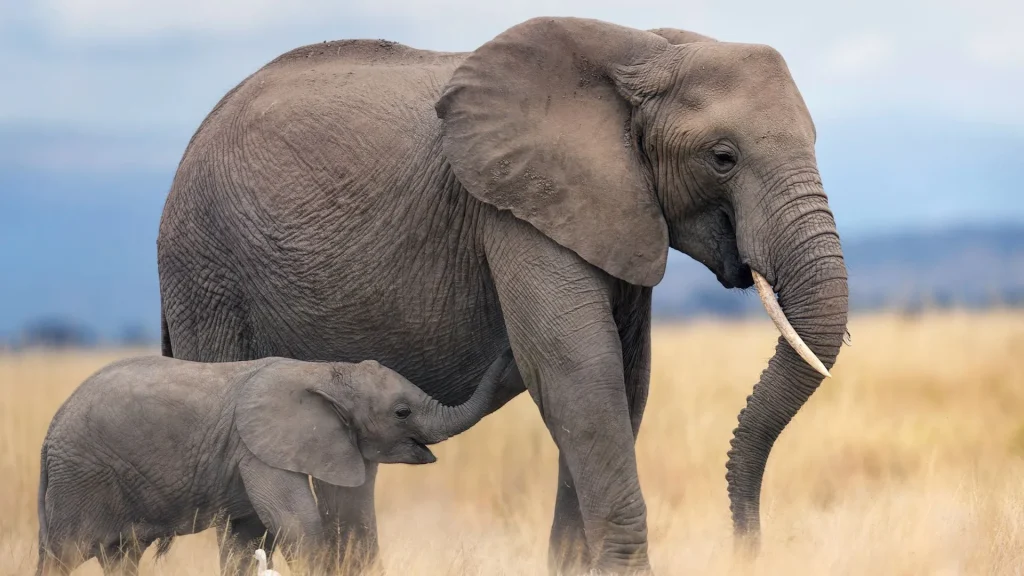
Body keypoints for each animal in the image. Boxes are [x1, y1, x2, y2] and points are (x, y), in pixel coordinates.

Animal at [35, 351, 514, 576]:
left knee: (119, 558)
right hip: (80, 479)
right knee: (63, 554)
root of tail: (49, 433)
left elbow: (248, 538)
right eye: (402, 412)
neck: (326, 372)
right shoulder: (258, 449)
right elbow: (298, 523)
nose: (509, 354)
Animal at [156, 16, 849, 575]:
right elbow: (578, 372)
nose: (747, 547)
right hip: (205, 273)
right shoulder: (513, 208)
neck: (644, 48)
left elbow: (623, 380)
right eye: (722, 157)